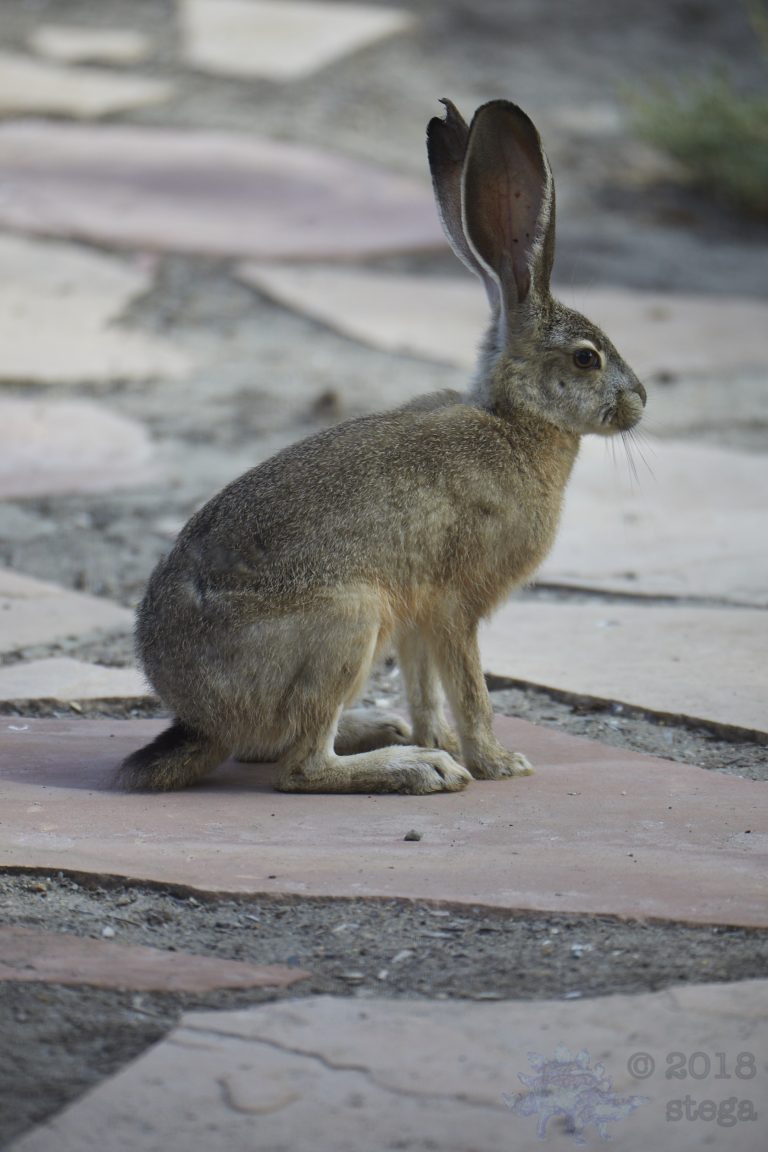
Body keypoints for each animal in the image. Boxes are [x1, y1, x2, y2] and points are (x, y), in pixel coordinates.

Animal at [117, 98, 646, 796]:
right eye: (588, 358)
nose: (641, 403)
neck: (516, 422)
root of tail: (203, 718)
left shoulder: (419, 615)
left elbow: (426, 689)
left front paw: (439, 737)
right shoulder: (453, 606)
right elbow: (472, 691)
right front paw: (496, 763)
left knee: (272, 749)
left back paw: (390, 734)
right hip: (349, 623)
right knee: (299, 766)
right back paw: (415, 768)